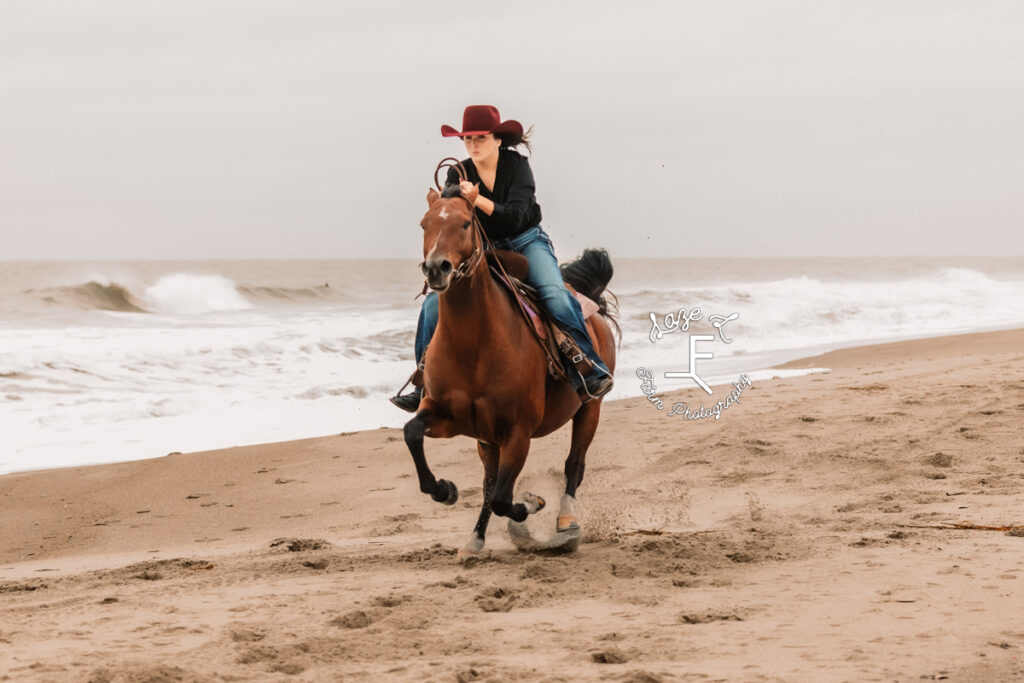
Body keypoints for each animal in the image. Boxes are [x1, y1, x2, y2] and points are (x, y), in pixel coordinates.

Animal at [403, 183, 618, 561]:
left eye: (465, 223)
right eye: (424, 224)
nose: (436, 269)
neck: (474, 345)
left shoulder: (518, 432)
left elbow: (505, 498)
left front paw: (532, 502)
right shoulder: (448, 418)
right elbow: (412, 432)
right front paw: (445, 489)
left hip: (590, 409)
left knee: (573, 465)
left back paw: (566, 522)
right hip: (486, 440)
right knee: (490, 484)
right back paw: (475, 539)